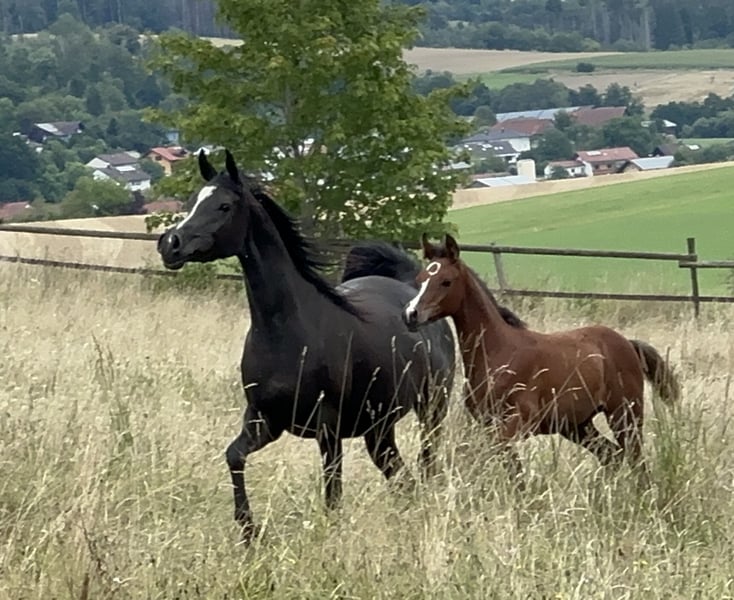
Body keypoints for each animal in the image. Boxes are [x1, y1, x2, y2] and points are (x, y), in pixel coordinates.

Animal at [156, 150, 456, 541]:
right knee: (401, 476)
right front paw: (248, 530)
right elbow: (233, 456)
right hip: (378, 428)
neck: (287, 333)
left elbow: (333, 493)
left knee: (426, 464)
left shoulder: (327, 429)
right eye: (192, 200)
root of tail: (410, 291)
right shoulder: (263, 420)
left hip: (431, 409)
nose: (170, 244)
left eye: (223, 205)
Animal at [402, 233, 681, 481]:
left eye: (446, 281)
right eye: (420, 279)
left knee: (635, 460)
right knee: (612, 456)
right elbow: (512, 472)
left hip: (625, 413)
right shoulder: (488, 425)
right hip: (578, 425)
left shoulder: (517, 423)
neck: (498, 353)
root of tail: (627, 343)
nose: (411, 314)